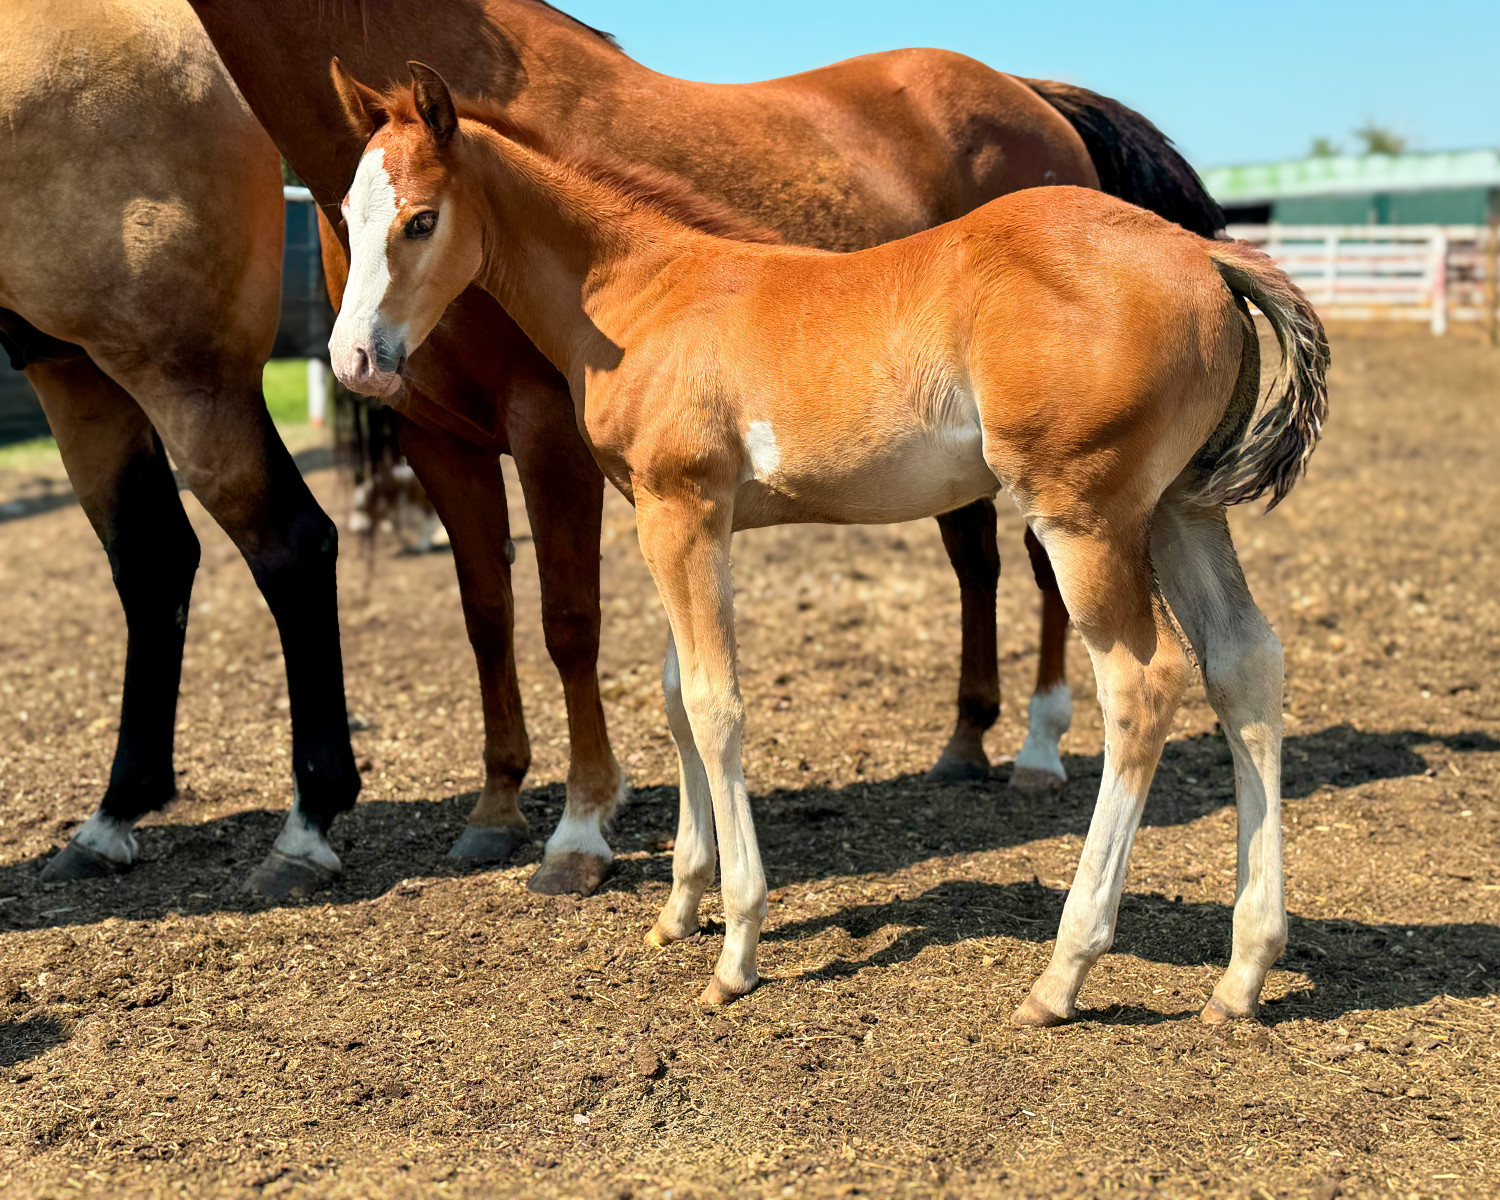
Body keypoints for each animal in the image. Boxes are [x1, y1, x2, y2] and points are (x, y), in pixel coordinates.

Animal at [0, 0, 360, 897]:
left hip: (179, 374)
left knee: (291, 544)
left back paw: (306, 825)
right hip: (75, 368)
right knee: (156, 556)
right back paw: (112, 817)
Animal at [188, 0, 1224, 896]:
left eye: (421, 220)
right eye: (345, 216)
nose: (354, 358)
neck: (632, 282)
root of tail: (1035, 94)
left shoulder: (565, 447)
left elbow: (579, 629)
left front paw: (583, 836)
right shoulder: (452, 443)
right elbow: (507, 622)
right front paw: (503, 812)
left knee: (1056, 591)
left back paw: (1040, 749)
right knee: (979, 563)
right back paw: (965, 743)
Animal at [330, 66, 1329, 1023]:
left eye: (421, 220)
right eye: (343, 214)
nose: (353, 363)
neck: (643, 294)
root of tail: (1201, 253)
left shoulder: (680, 510)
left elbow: (714, 703)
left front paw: (736, 951)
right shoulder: (685, 520)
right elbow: (676, 695)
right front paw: (681, 907)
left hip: (1085, 516)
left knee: (1142, 684)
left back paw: (1062, 974)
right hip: (1180, 508)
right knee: (1244, 663)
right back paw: (1243, 973)